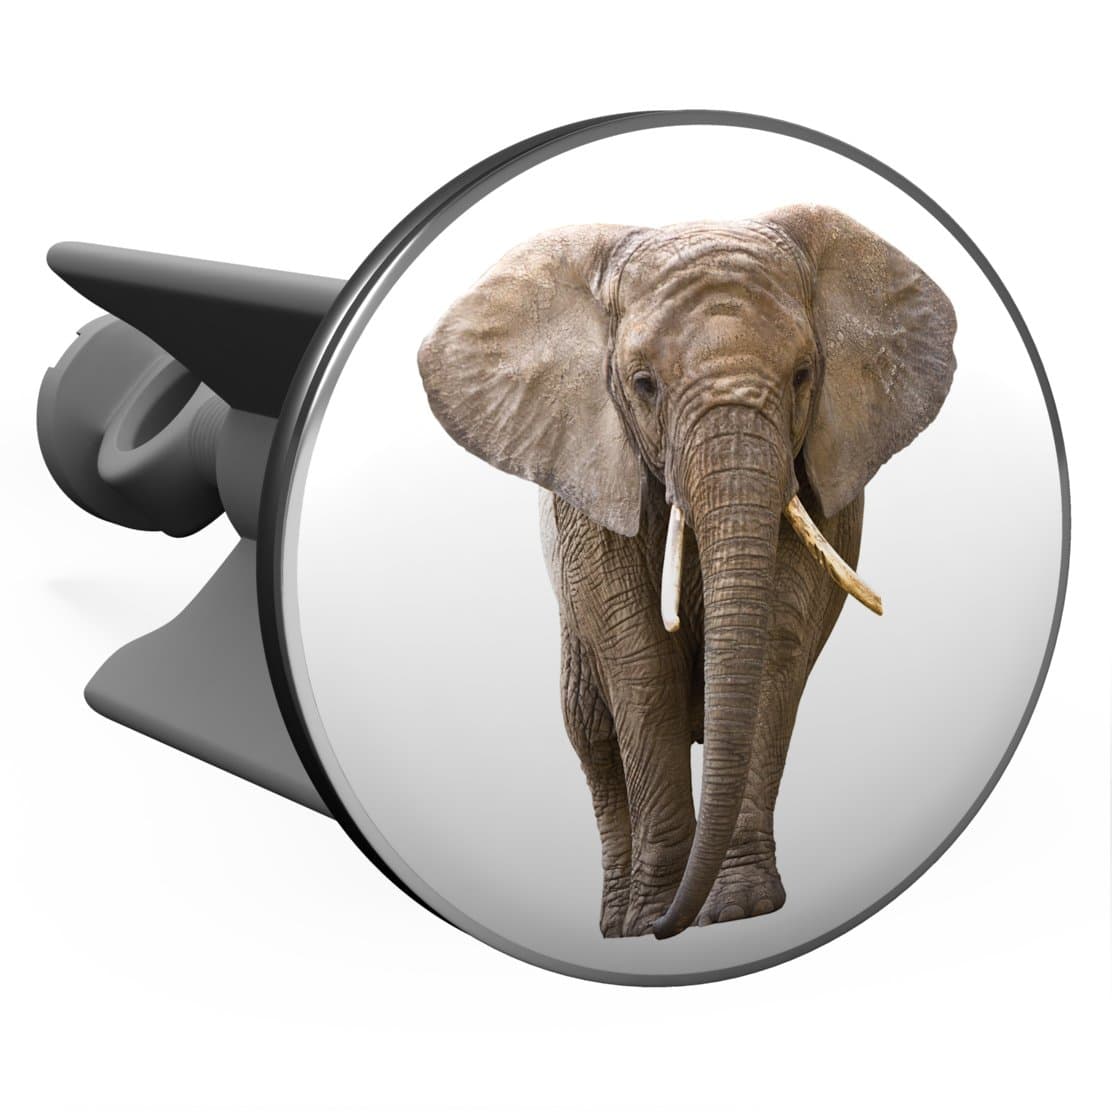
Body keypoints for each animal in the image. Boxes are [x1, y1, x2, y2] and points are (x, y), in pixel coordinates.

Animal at [417, 205, 956, 940]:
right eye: (644, 384)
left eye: (803, 375)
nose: (675, 923)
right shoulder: (591, 479)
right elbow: (639, 659)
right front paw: (654, 916)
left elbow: (775, 644)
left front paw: (737, 910)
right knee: (590, 732)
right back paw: (617, 924)